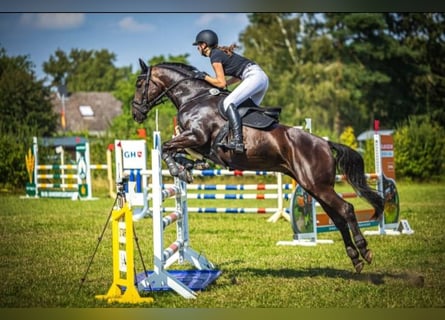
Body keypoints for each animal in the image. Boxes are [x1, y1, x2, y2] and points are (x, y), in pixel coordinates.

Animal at [131, 59, 382, 272]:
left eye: (140, 84)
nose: (135, 113)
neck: (194, 98)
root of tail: (324, 143)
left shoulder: (196, 136)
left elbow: (166, 147)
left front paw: (179, 169)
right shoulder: (194, 141)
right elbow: (174, 150)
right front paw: (189, 167)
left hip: (318, 186)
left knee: (347, 209)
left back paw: (364, 250)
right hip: (313, 187)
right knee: (338, 218)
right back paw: (355, 259)